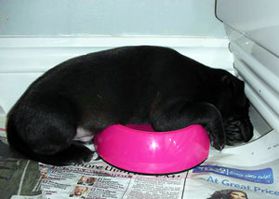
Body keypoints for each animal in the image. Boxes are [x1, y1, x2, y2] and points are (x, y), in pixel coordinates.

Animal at [5, 46, 255, 165]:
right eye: (244, 107)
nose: (252, 134)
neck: (203, 79)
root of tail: (15, 115)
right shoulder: (166, 114)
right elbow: (210, 108)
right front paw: (218, 136)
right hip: (60, 119)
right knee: (44, 150)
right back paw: (80, 154)